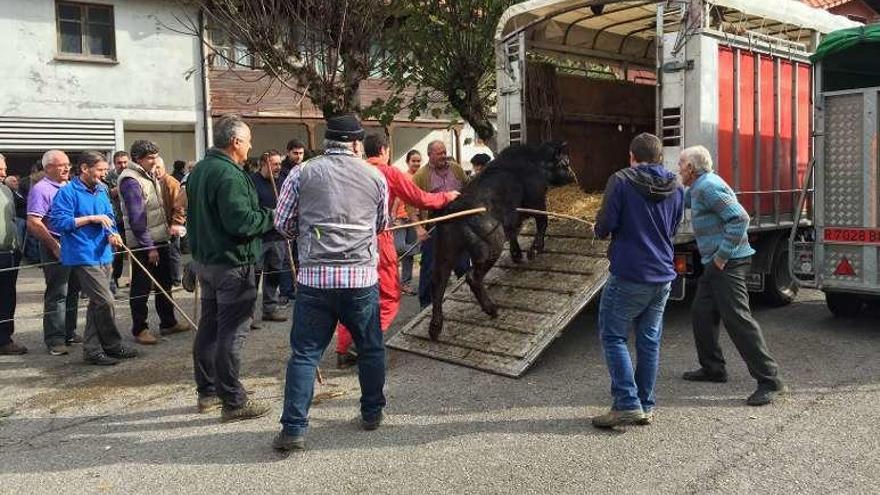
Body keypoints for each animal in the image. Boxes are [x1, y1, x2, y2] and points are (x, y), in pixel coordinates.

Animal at [428, 140, 576, 340]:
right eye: (564, 162)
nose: (573, 176)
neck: (537, 162)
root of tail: (455, 210)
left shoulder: (513, 219)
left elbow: (514, 233)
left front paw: (518, 255)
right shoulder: (536, 201)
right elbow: (542, 222)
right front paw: (533, 251)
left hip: (445, 249)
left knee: (438, 281)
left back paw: (435, 330)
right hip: (490, 245)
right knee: (471, 276)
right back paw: (493, 310)